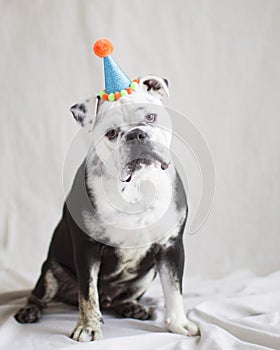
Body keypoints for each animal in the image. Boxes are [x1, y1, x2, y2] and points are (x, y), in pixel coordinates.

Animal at [13, 75, 199, 340]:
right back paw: (29, 311)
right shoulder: (87, 249)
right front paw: (88, 327)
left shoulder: (170, 248)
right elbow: (88, 294)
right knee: (39, 295)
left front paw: (178, 324)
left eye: (151, 117)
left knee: (123, 297)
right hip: (50, 271)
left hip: (147, 274)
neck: (136, 186)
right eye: (111, 133)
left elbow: (174, 290)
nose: (136, 134)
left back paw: (131, 307)